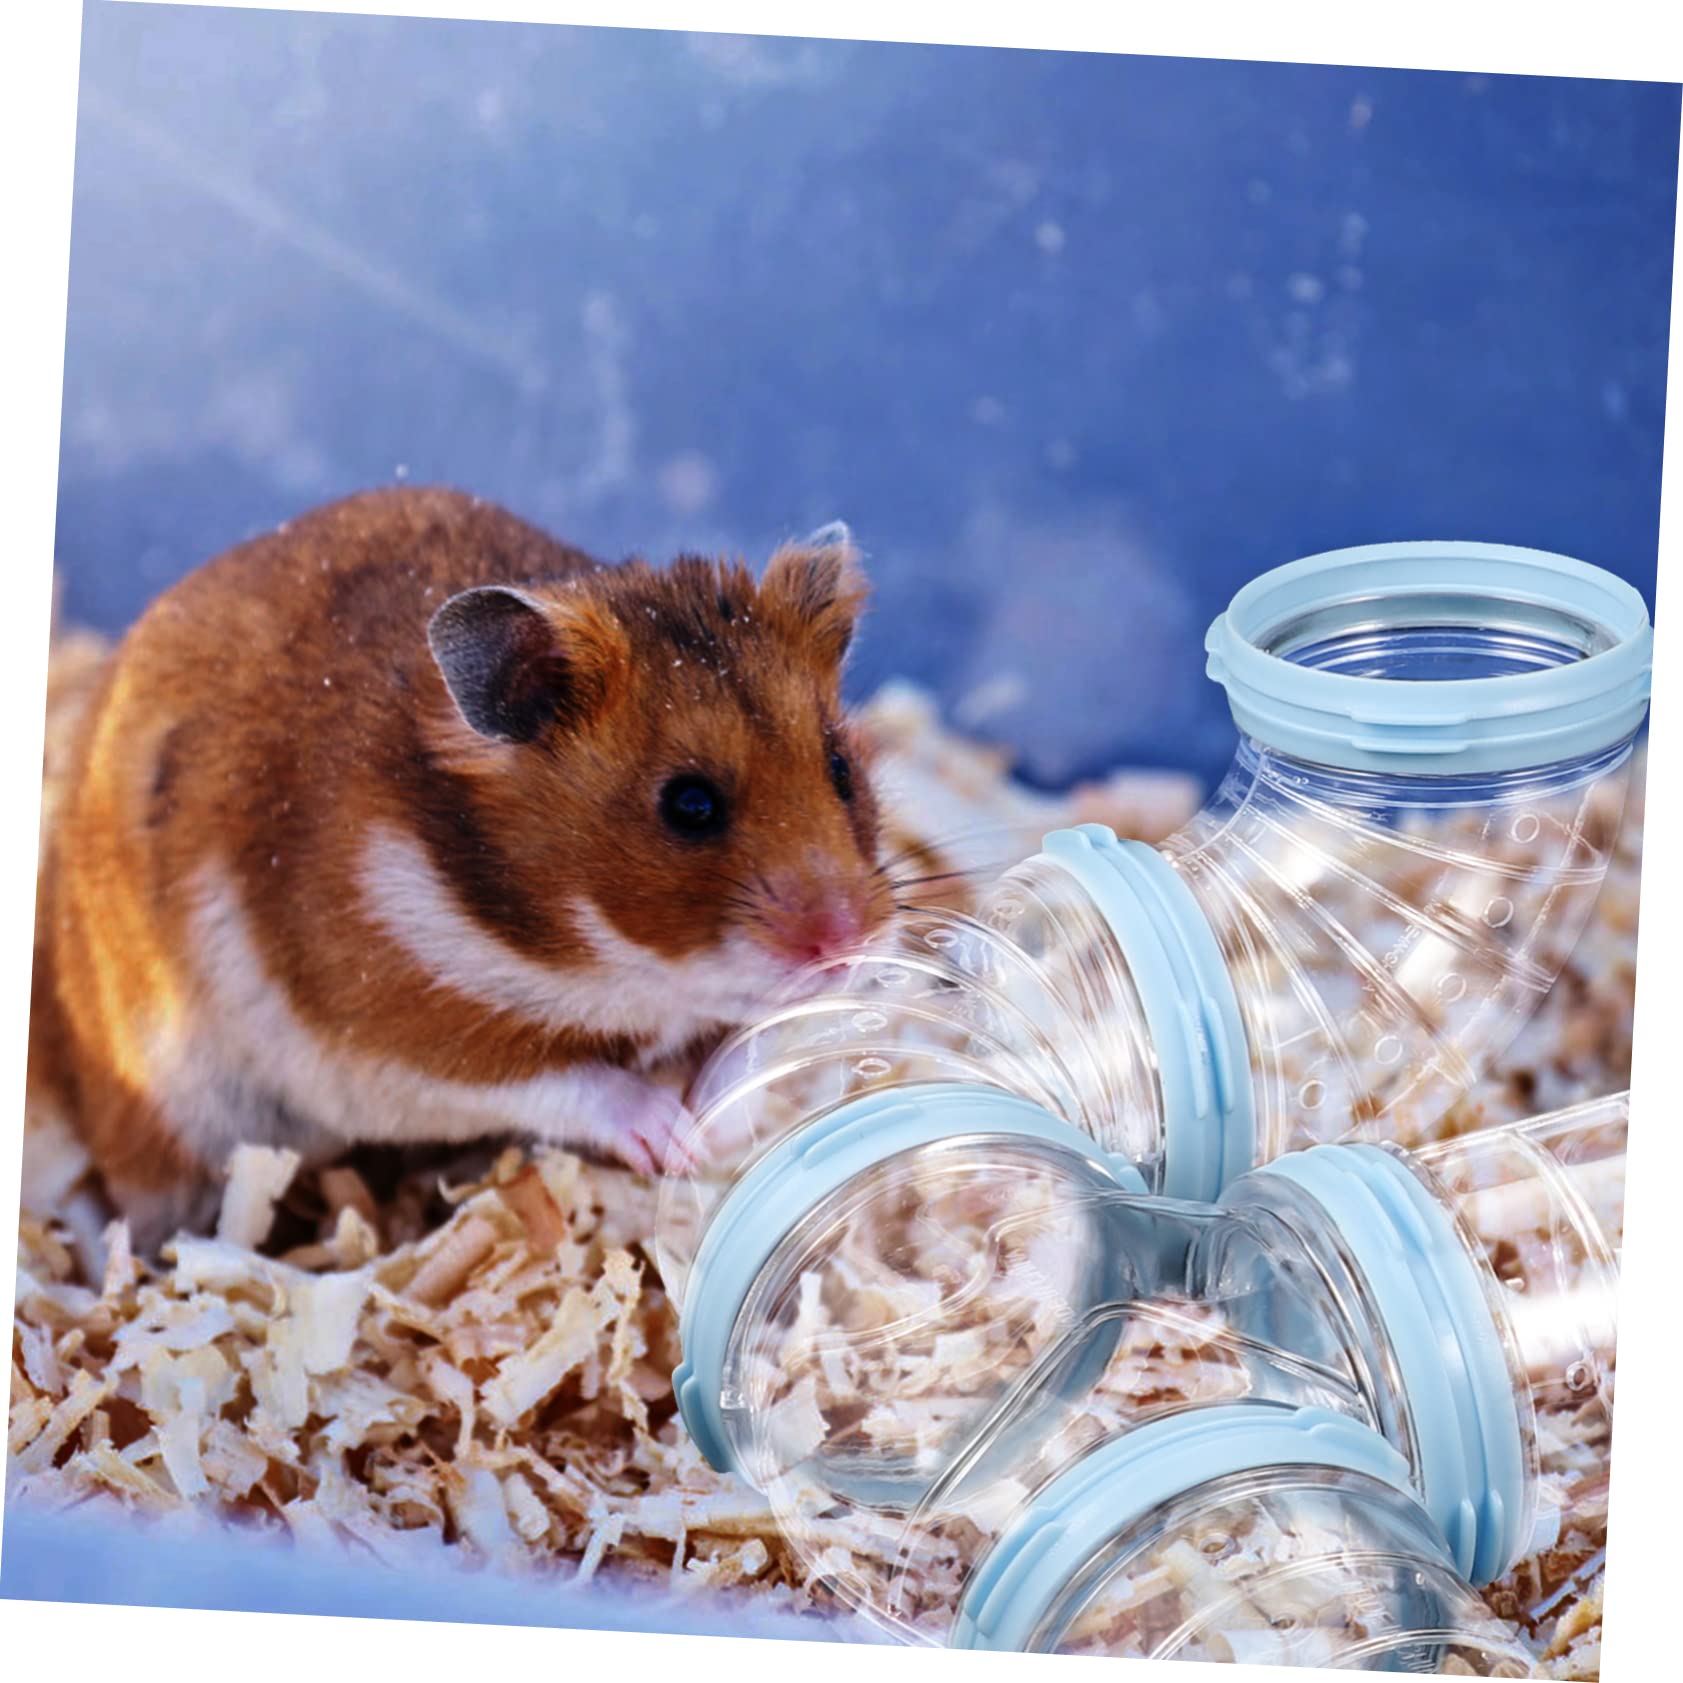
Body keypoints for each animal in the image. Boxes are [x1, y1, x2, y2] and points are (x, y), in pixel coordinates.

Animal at [29, 486, 894, 1248]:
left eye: (840, 766)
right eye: (688, 804)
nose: (846, 944)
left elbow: (752, 1037)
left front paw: (718, 1128)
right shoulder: (396, 1036)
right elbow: (567, 1080)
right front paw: (675, 1138)